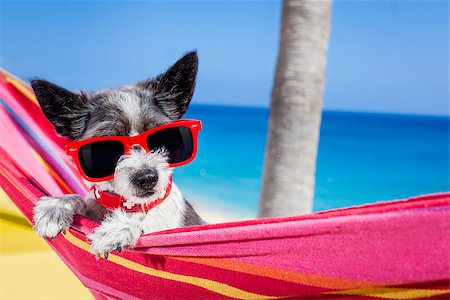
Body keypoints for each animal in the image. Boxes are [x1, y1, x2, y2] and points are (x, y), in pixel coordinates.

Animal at [32, 51, 205, 258]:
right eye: (105, 149)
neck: (131, 205)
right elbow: (80, 197)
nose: (147, 178)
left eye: (163, 137)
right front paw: (56, 206)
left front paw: (120, 227)